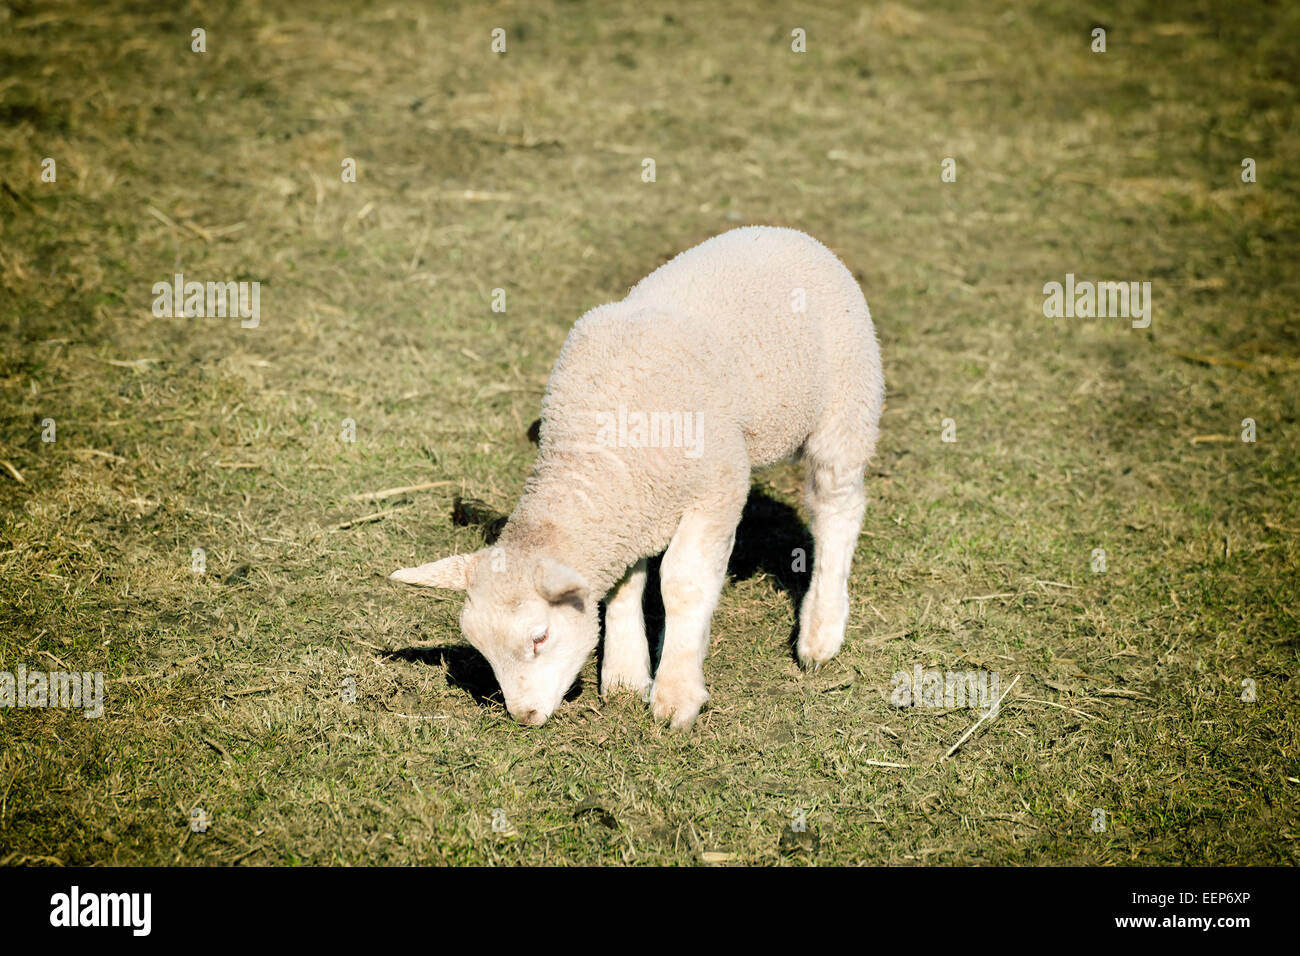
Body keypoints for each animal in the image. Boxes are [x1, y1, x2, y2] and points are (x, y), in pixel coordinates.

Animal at [392, 226, 883, 733]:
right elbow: (625, 584)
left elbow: (684, 583)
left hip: (847, 401)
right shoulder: (628, 507)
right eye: (482, 649)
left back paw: (821, 632)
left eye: (539, 637)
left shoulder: (716, 488)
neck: (591, 459)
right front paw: (627, 674)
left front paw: (676, 693)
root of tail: (776, 232)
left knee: (837, 506)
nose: (524, 717)